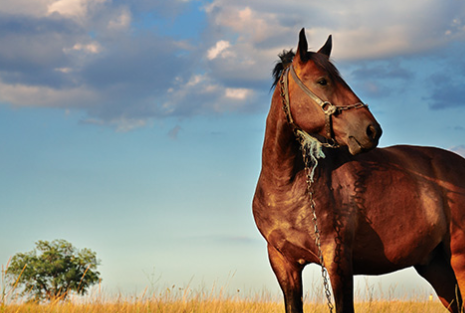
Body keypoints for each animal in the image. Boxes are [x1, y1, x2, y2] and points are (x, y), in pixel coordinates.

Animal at [252, 27, 464, 312]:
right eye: (322, 81)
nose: (372, 130)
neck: (288, 185)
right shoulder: (283, 263)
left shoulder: (337, 259)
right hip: (437, 267)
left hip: (459, 261)